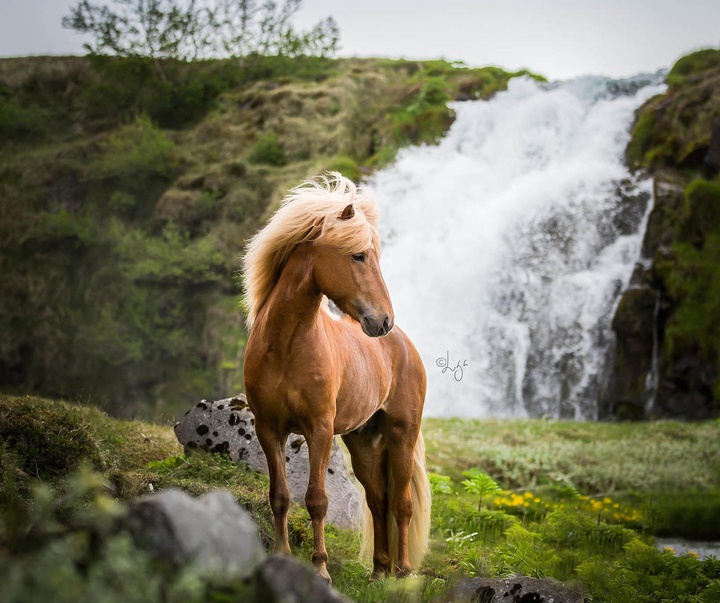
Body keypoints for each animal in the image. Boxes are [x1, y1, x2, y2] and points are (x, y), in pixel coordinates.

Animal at [242, 172, 434, 584]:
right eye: (359, 256)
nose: (382, 320)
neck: (286, 347)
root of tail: (403, 342)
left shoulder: (319, 429)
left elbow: (317, 499)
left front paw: (321, 570)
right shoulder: (268, 429)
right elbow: (280, 496)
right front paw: (283, 557)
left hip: (402, 434)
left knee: (402, 503)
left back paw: (403, 572)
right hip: (363, 442)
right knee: (378, 501)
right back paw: (379, 572)